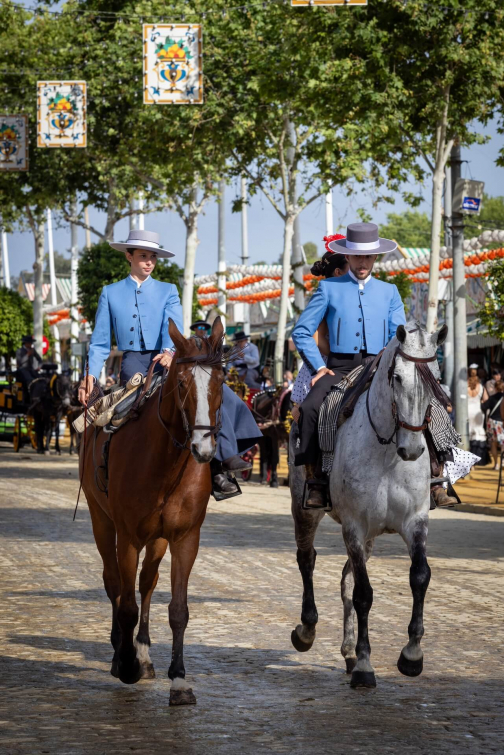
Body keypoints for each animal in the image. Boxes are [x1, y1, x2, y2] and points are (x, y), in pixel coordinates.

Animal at [79, 318, 225, 704]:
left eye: (220, 381)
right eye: (182, 382)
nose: (203, 448)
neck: (164, 463)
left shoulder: (185, 538)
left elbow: (177, 609)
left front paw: (179, 680)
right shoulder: (128, 536)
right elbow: (126, 603)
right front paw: (126, 664)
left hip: (157, 539)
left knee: (146, 582)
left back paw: (142, 653)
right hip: (102, 522)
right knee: (115, 583)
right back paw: (122, 653)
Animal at [290, 324, 446, 692]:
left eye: (437, 377)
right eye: (398, 377)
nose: (413, 449)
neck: (388, 451)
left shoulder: (414, 521)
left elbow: (419, 576)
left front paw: (412, 655)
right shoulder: (354, 526)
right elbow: (364, 594)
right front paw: (364, 665)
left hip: (372, 535)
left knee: (345, 579)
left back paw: (347, 650)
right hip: (305, 510)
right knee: (307, 559)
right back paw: (307, 630)